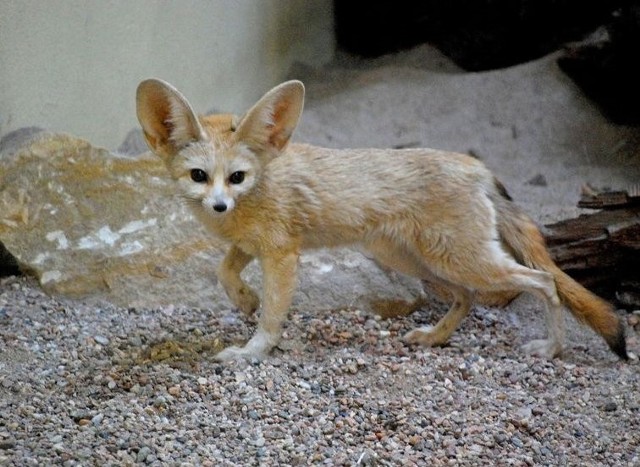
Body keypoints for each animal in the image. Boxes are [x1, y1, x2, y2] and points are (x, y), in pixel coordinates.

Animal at [135, 77, 624, 362]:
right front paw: (244, 300)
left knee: (545, 282)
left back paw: (552, 348)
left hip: (463, 262)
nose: (219, 206)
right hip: (419, 262)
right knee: (467, 297)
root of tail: (474, 165)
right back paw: (433, 338)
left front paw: (251, 352)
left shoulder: (282, 256)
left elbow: (272, 317)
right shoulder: (248, 246)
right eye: (199, 176)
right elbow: (224, 273)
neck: (258, 189)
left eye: (237, 177)